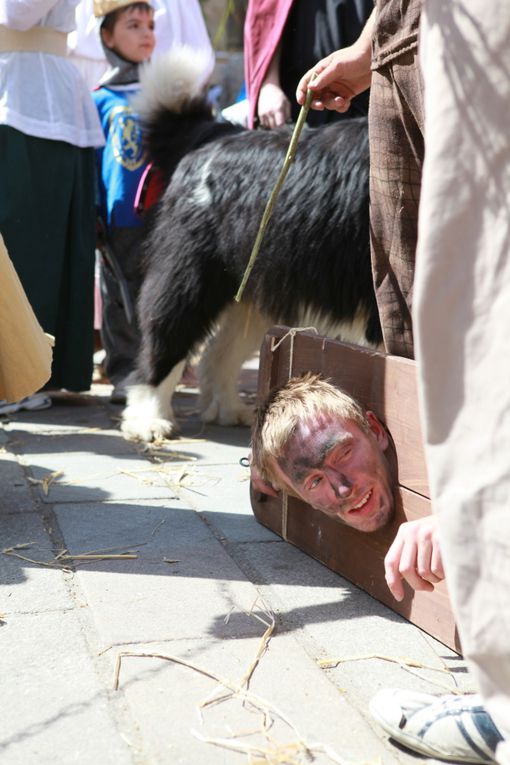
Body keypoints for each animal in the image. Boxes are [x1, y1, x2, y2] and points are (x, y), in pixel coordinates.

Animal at [121, 49, 380, 442]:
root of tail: (216, 136)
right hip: (189, 280)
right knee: (164, 342)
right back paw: (150, 419)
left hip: (253, 292)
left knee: (217, 353)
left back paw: (229, 410)